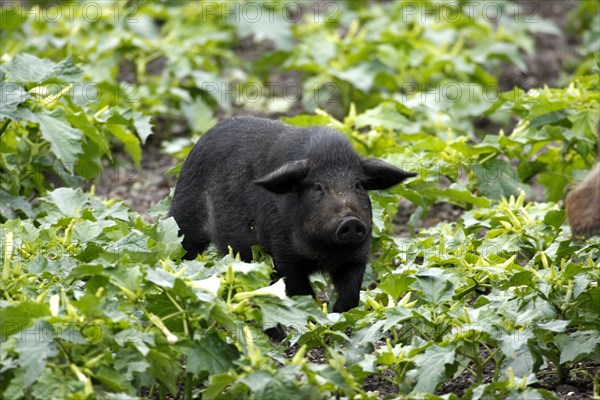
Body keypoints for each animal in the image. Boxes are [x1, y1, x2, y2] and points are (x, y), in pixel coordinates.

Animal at [166, 115, 414, 312]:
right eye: (317, 186)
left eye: (358, 185)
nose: (350, 221)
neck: (325, 253)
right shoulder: (282, 253)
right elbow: (300, 292)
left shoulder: (358, 255)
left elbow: (351, 294)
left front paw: (337, 315)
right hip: (184, 219)